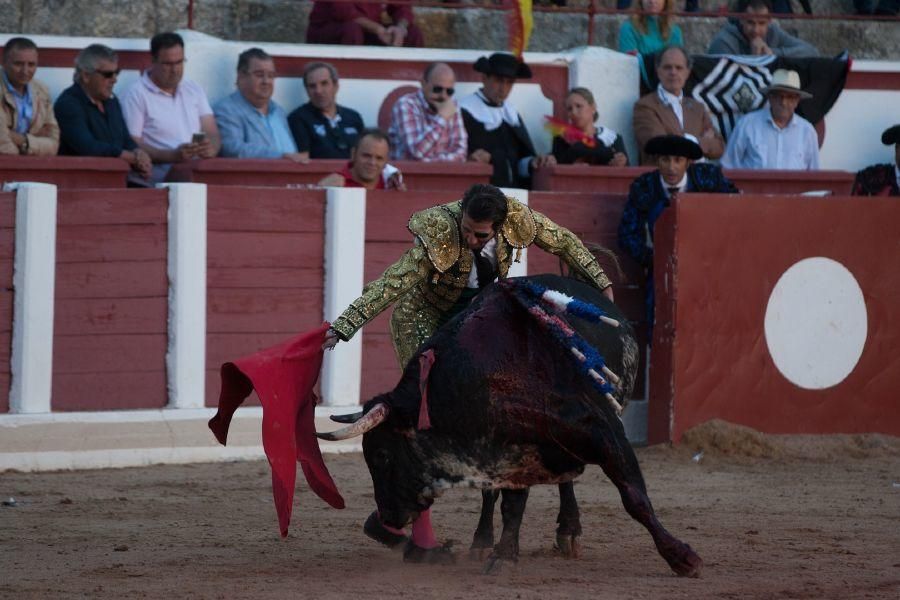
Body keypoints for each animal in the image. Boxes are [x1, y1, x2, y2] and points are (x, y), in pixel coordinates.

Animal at [316, 276, 704, 576]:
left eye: (382, 455)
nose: (386, 517)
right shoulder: (511, 449)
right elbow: (511, 504)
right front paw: (503, 554)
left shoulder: (603, 431)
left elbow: (634, 497)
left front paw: (682, 557)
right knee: (501, 495)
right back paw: (486, 540)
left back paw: (569, 531)